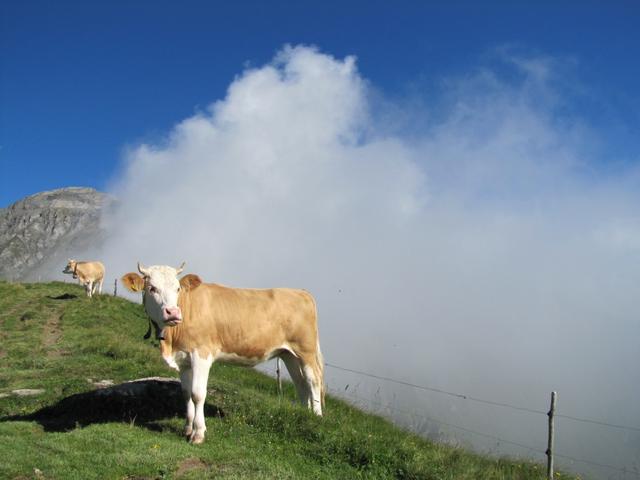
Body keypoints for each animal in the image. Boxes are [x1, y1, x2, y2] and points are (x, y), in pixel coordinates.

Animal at [122, 262, 324, 442]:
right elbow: (186, 393)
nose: (172, 312)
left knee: (312, 381)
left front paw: (198, 433)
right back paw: (303, 414)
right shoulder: (184, 360)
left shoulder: (201, 355)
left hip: (306, 350)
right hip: (288, 353)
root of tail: (300, 291)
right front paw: (187, 429)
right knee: (300, 383)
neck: (172, 341)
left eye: (177, 288)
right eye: (152, 288)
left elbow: (197, 394)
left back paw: (317, 417)